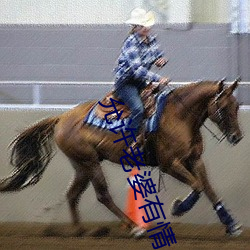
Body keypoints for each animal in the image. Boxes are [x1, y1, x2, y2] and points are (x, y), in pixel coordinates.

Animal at [0, 77, 243, 236]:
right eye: (222, 107)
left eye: (236, 105)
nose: (237, 137)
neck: (179, 116)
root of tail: (62, 118)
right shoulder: (170, 164)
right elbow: (197, 186)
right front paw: (178, 207)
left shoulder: (194, 160)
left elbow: (209, 189)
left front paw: (231, 225)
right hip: (90, 162)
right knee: (102, 195)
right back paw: (133, 227)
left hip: (82, 165)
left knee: (72, 195)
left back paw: (82, 230)